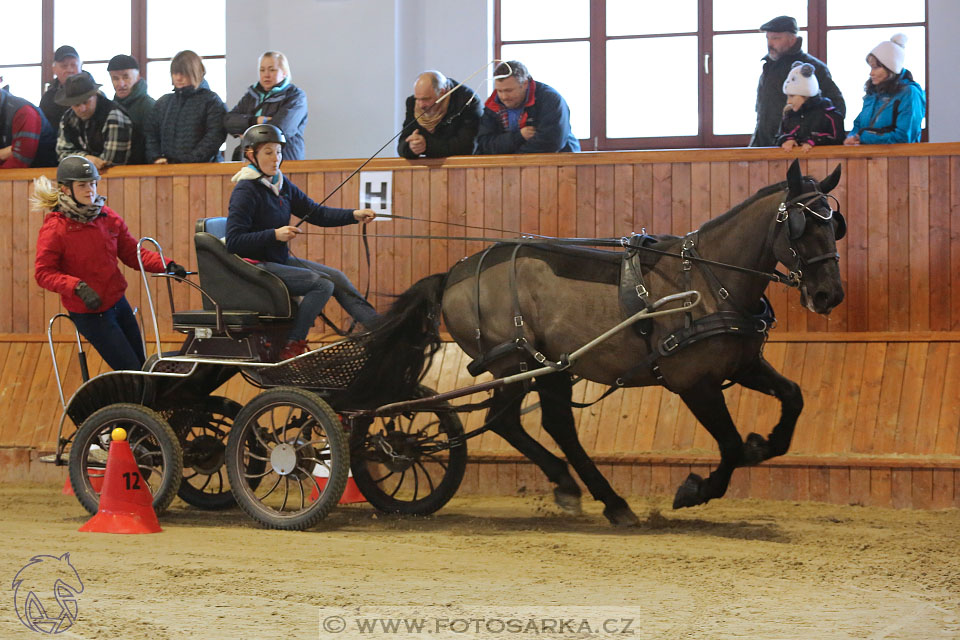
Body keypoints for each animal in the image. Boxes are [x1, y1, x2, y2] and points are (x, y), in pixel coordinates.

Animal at [348, 160, 844, 524]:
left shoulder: (741, 366)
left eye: (834, 223)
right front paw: (695, 490)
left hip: (552, 366)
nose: (828, 295)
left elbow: (792, 398)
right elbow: (730, 444)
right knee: (505, 422)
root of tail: (454, 272)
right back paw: (591, 493)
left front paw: (766, 444)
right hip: (515, 363)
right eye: (800, 225)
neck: (707, 280)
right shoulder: (693, 382)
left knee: (551, 426)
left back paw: (599, 496)